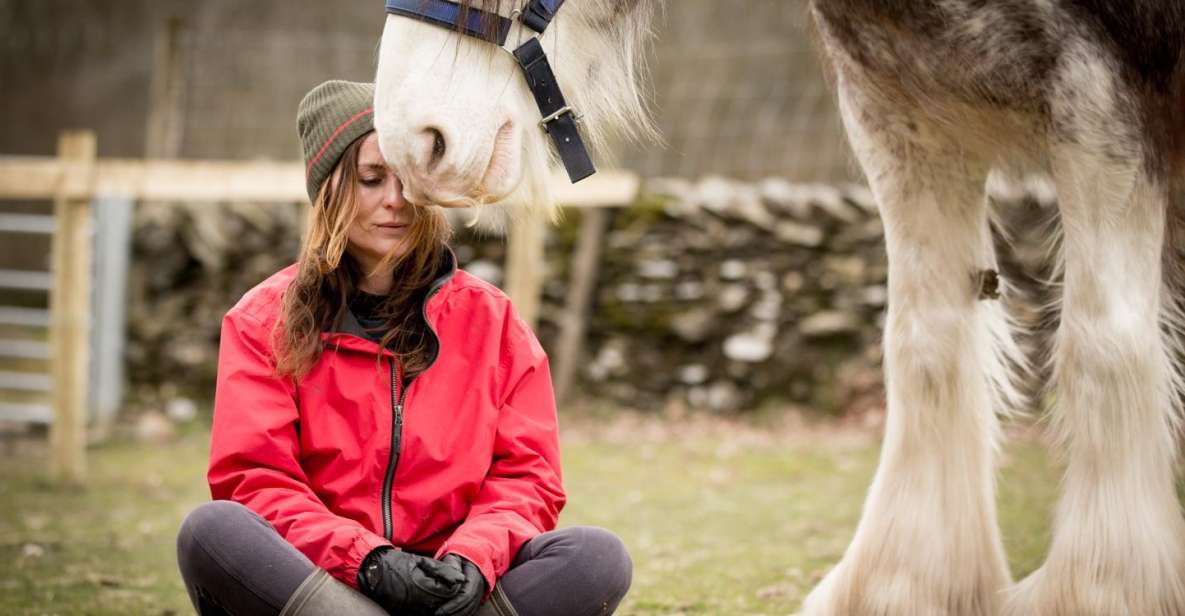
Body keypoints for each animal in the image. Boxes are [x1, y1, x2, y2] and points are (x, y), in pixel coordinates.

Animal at [374, 2, 1185, 611]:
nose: (416, 141)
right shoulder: (904, 118)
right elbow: (926, 344)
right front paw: (905, 584)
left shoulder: (1102, 105)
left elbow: (1102, 345)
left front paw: (1102, 590)